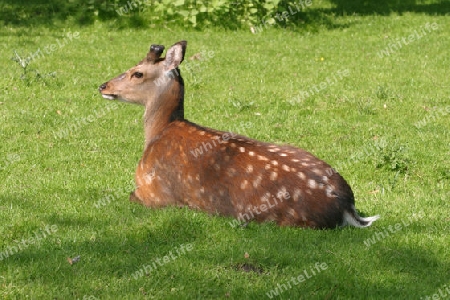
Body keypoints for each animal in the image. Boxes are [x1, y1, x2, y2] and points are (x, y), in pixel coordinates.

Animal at [99, 40, 380, 230]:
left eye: (137, 72)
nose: (103, 86)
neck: (159, 132)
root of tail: (346, 205)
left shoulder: (156, 194)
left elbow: (130, 195)